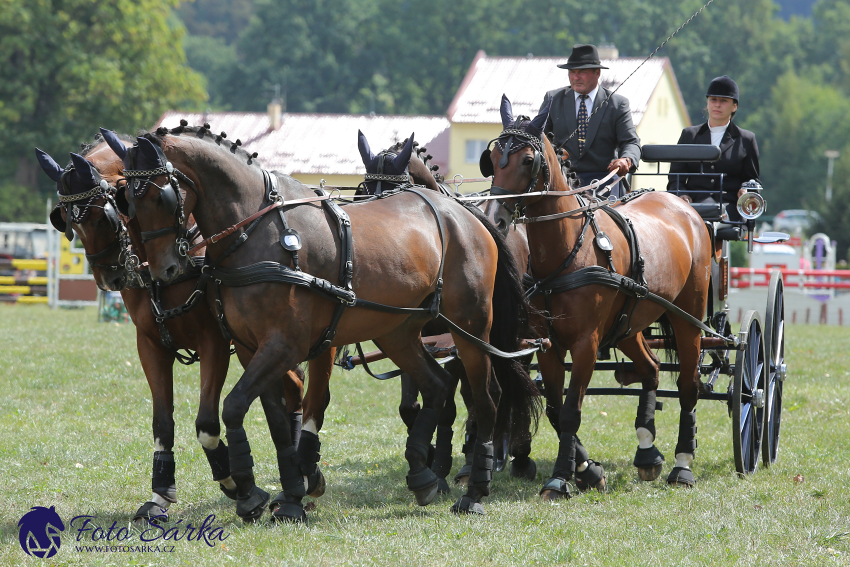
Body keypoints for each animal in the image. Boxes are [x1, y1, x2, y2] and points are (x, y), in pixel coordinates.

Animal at [37, 141, 308, 524]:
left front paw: (238, 486)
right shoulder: (150, 346)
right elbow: (162, 423)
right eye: (67, 221)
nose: (109, 279)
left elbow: (207, 423)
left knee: (296, 389)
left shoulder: (213, 342)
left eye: (104, 217)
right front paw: (160, 495)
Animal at [99, 123, 536, 520]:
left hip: (471, 328)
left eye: (162, 193)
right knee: (438, 385)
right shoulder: (250, 347)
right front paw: (287, 493)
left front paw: (251, 491)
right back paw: (423, 477)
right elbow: (276, 421)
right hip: (398, 332)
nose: (166, 270)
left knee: (487, 397)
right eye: (127, 200)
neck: (256, 232)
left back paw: (475, 490)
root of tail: (467, 213)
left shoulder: (284, 345)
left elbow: (235, 406)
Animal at [484, 96, 708, 502]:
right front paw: (586, 471)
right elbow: (556, 410)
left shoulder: (586, 344)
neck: (568, 250)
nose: (494, 218)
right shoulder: (547, 344)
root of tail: (684, 205)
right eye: (493, 158)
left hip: (688, 318)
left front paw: (560, 479)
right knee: (651, 368)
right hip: (630, 324)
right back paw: (647, 452)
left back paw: (682, 465)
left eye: (528, 160)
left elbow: (571, 411)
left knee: (688, 386)